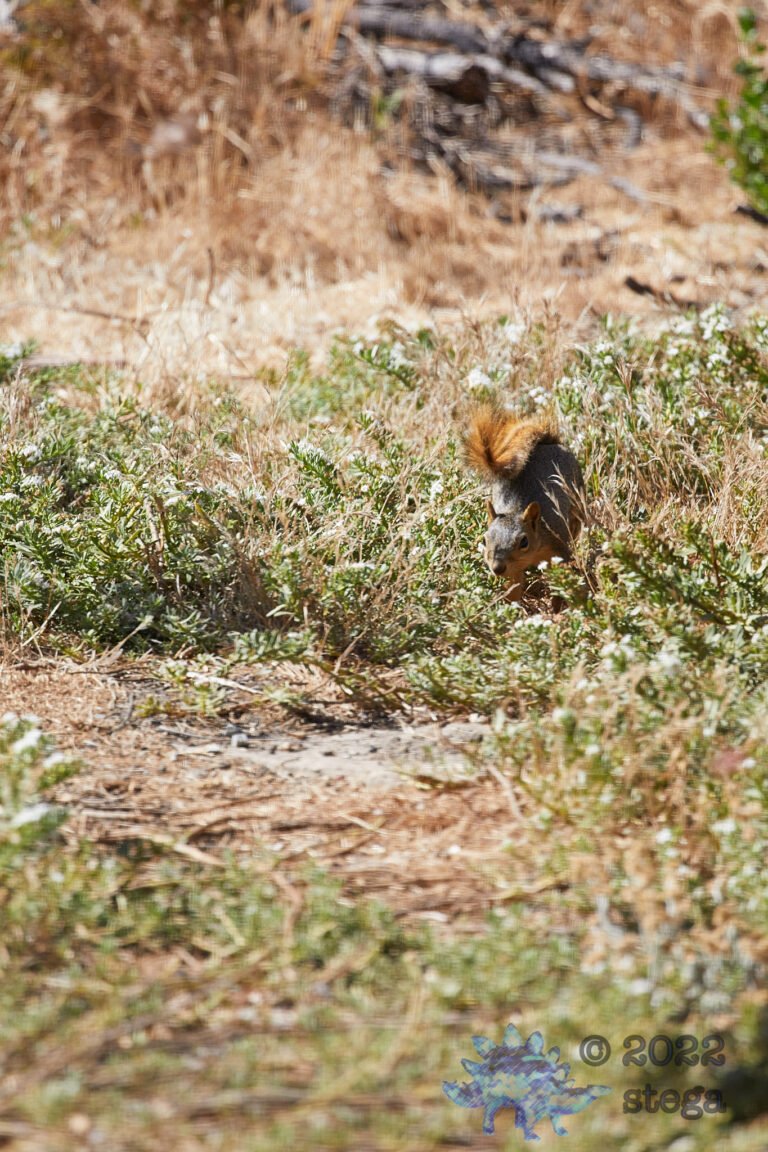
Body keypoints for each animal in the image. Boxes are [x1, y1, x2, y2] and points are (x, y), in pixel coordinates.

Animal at [465, 405, 586, 601]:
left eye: (524, 542)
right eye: (485, 539)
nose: (497, 568)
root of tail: (548, 444)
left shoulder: (558, 551)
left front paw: (560, 602)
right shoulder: (512, 571)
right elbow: (513, 589)